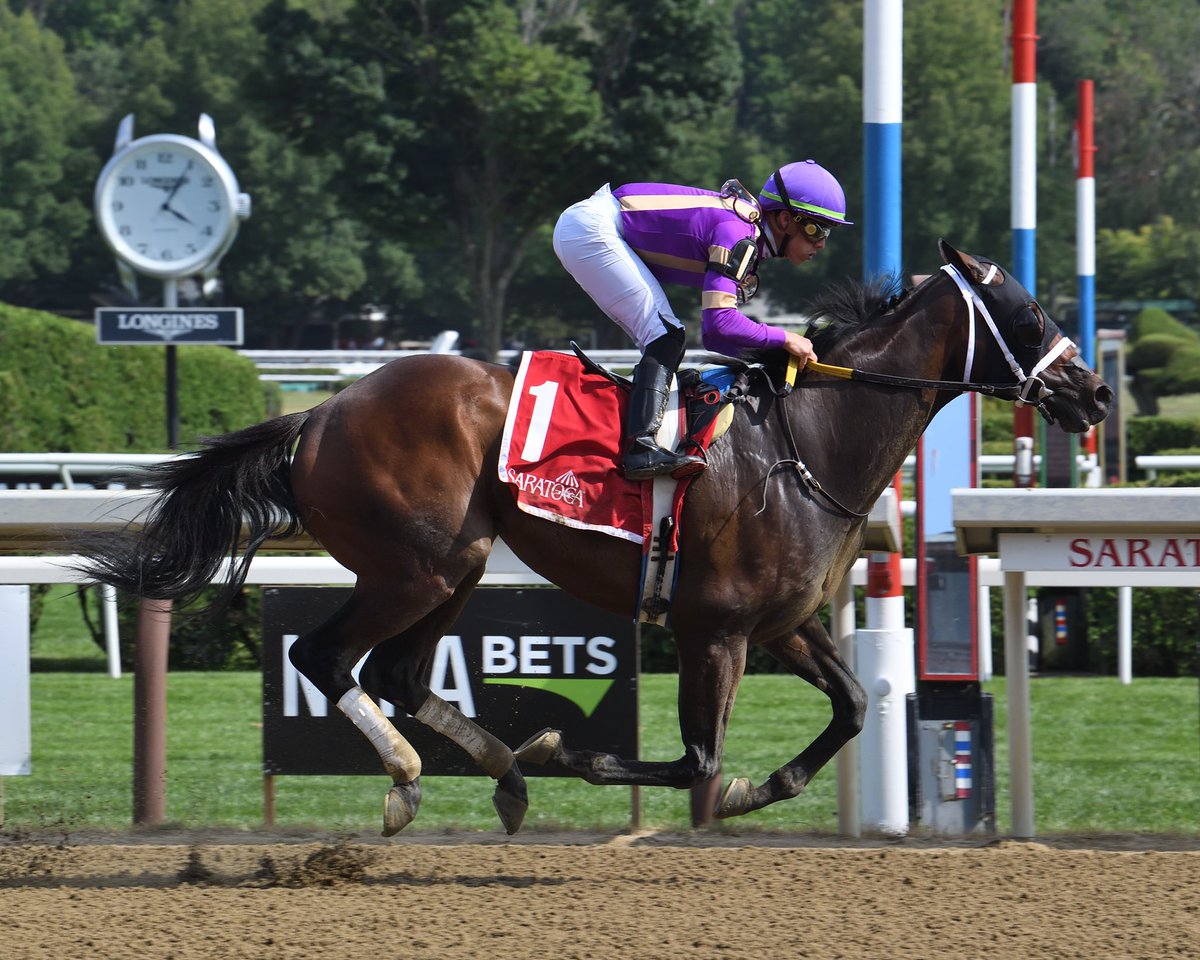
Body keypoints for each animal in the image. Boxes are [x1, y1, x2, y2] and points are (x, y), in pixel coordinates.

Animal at [75, 240, 1108, 830]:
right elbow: (695, 759)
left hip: (455, 564)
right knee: (329, 659)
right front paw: (571, 753)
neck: (810, 442)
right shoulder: (715, 631)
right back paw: (415, 778)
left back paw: (498, 774)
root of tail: (321, 412)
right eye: (1029, 314)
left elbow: (853, 706)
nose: (1096, 392)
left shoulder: (782, 623)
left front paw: (756, 787)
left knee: (400, 675)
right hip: (417, 567)